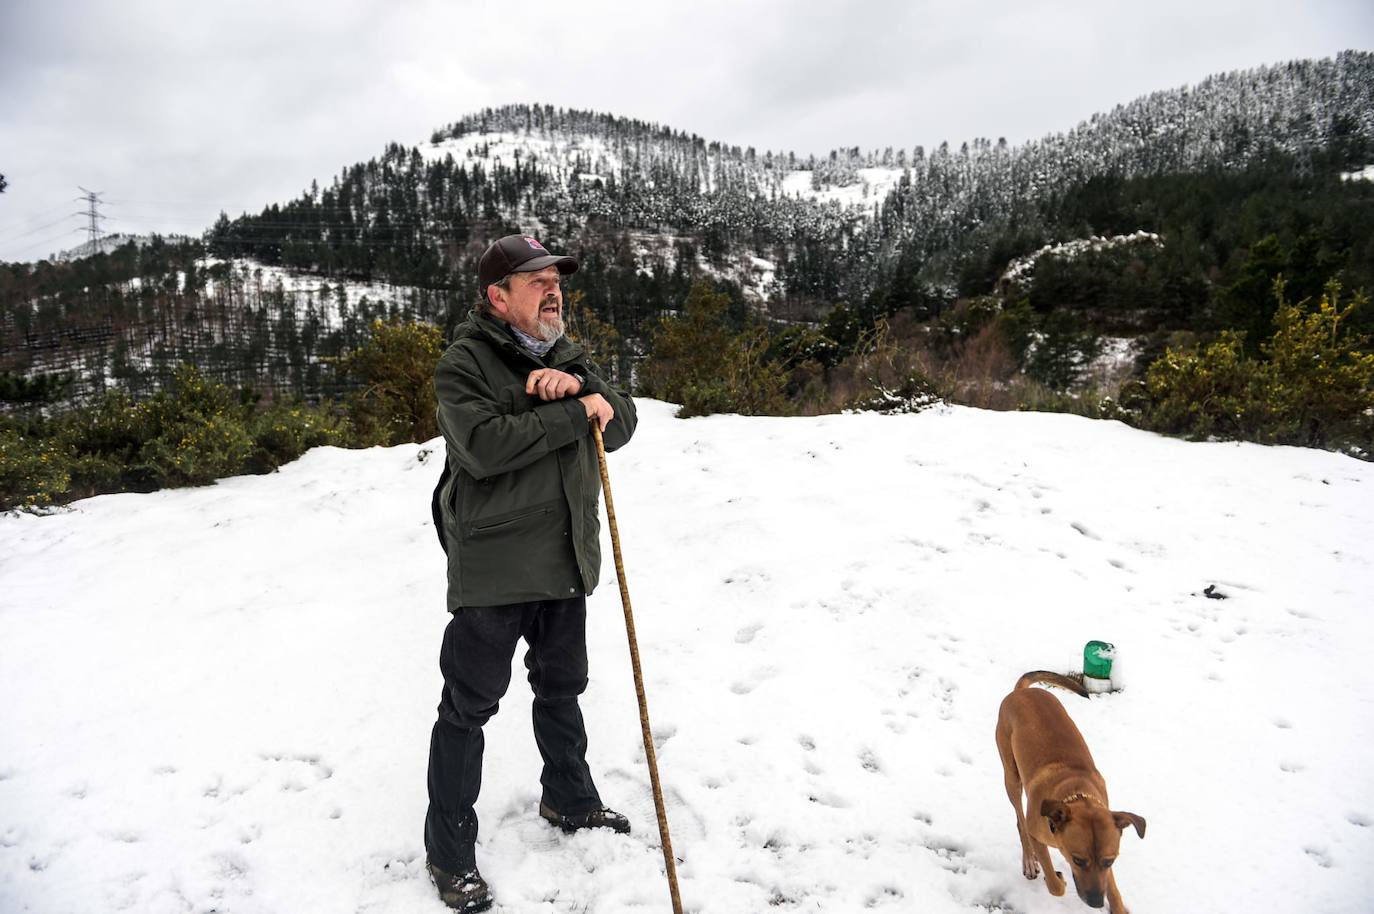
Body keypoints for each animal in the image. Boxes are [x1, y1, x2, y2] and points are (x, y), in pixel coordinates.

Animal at [994, 670, 1143, 912]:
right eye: (1078, 860)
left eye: (1109, 861)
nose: (1096, 902)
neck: (1078, 795)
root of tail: (1021, 692)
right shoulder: (1037, 834)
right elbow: (1055, 886)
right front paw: (1058, 878)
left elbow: (1112, 887)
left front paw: (1118, 906)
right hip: (1011, 775)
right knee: (1020, 821)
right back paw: (1029, 861)